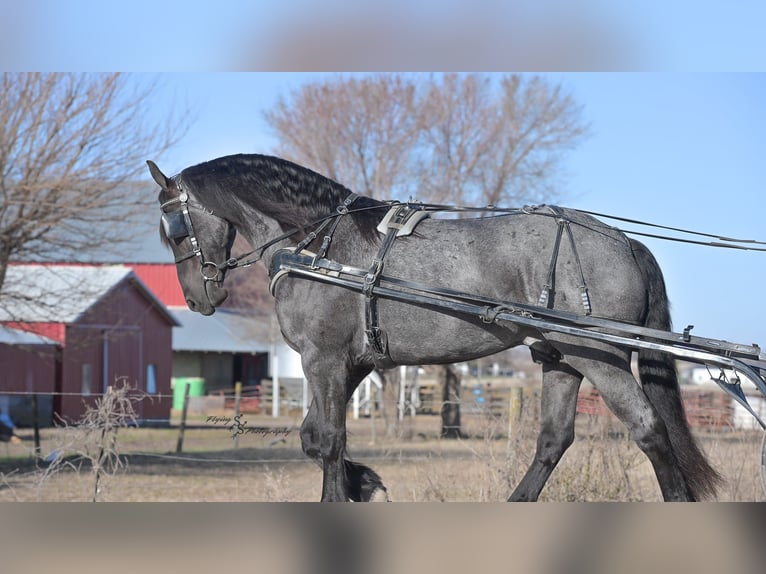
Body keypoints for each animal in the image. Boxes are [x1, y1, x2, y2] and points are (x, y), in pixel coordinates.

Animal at [147, 153, 722, 502]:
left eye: (173, 228)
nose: (199, 298)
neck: (320, 248)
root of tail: (624, 241)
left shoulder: (324, 360)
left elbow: (328, 440)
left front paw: (344, 492)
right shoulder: (353, 365)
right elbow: (314, 438)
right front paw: (366, 483)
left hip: (596, 356)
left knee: (648, 429)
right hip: (560, 359)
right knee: (554, 439)